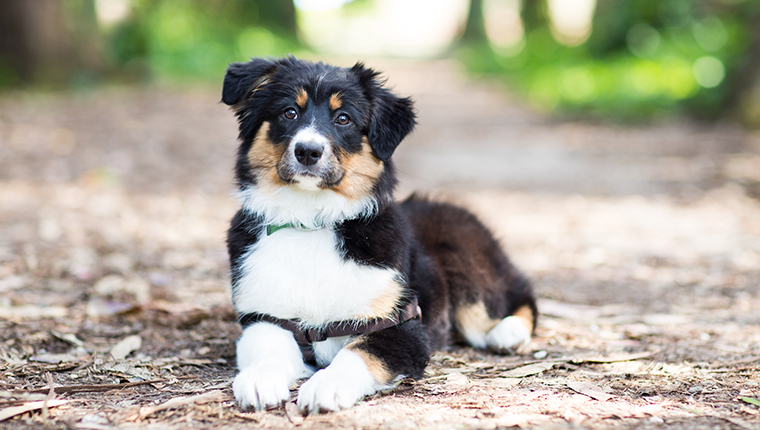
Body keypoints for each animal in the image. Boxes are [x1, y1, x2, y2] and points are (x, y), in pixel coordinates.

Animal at [223, 56, 536, 414]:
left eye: (343, 118)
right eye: (289, 112)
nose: (307, 151)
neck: (311, 221)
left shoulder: (398, 324)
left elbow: (358, 353)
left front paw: (328, 386)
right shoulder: (265, 317)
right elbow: (267, 348)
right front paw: (259, 380)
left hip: (469, 269)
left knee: (517, 293)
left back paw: (508, 331)